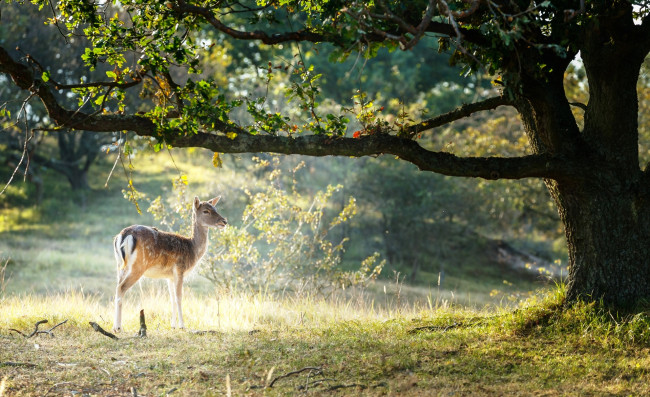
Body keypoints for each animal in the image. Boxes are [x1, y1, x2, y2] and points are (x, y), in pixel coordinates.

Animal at [109, 195, 225, 332]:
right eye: (206, 211)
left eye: (215, 208)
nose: (224, 221)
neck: (192, 249)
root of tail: (123, 236)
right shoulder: (179, 269)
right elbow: (179, 297)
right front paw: (182, 326)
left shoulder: (169, 276)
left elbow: (172, 299)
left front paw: (173, 325)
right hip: (138, 266)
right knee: (121, 288)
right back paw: (118, 327)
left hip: (120, 266)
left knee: (117, 288)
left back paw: (114, 326)